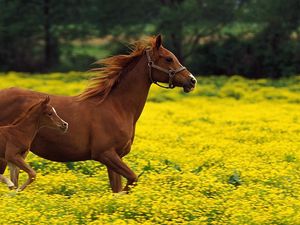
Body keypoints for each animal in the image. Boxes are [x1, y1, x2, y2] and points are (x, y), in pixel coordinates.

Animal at [0, 34, 197, 192]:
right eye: (168, 59)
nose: (192, 80)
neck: (117, 107)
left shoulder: (115, 157)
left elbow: (118, 188)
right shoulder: (106, 154)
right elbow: (132, 180)